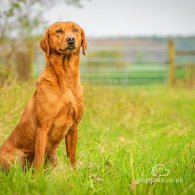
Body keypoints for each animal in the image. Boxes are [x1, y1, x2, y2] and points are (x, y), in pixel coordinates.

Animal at [0, 21, 87, 171]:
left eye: (75, 30)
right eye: (59, 31)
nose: (70, 39)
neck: (66, 77)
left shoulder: (74, 127)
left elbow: (72, 157)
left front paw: (74, 173)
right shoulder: (42, 128)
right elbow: (39, 158)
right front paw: (37, 176)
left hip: (52, 156)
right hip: (17, 155)